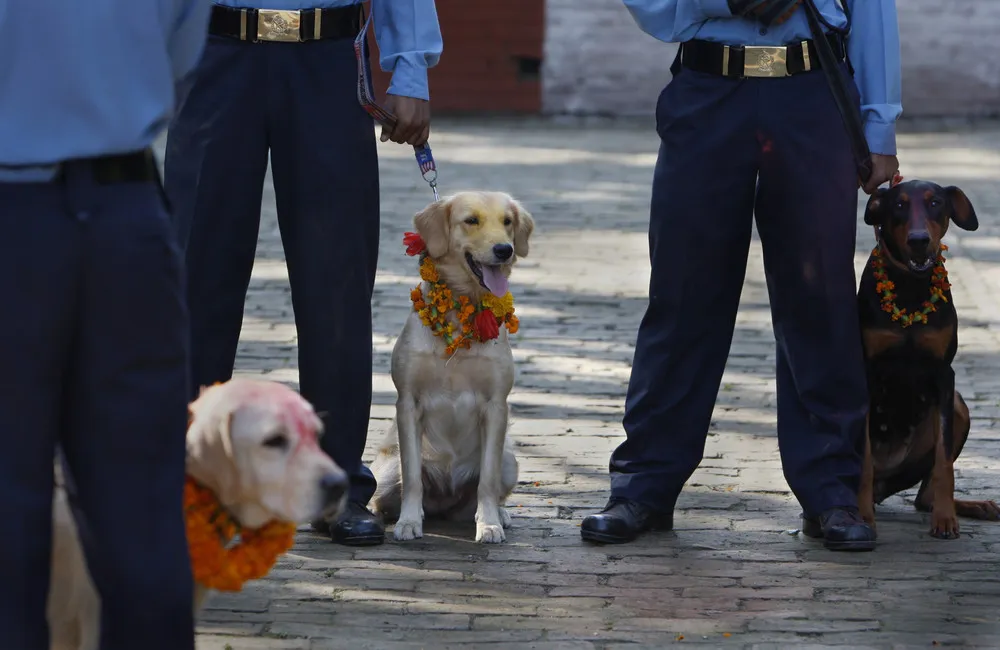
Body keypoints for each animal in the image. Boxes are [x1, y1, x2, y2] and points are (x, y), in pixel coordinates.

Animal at [368, 191, 536, 540]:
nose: (505, 249)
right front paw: (408, 522)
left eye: (507, 221)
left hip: (510, 460)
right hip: (386, 468)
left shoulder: (496, 405)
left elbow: (487, 481)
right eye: (471, 220)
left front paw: (489, 524)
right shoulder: (408, 403)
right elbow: (412, 478)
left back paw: (500, 514)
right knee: (384, 494)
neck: (461, 314)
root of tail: (442, 502)